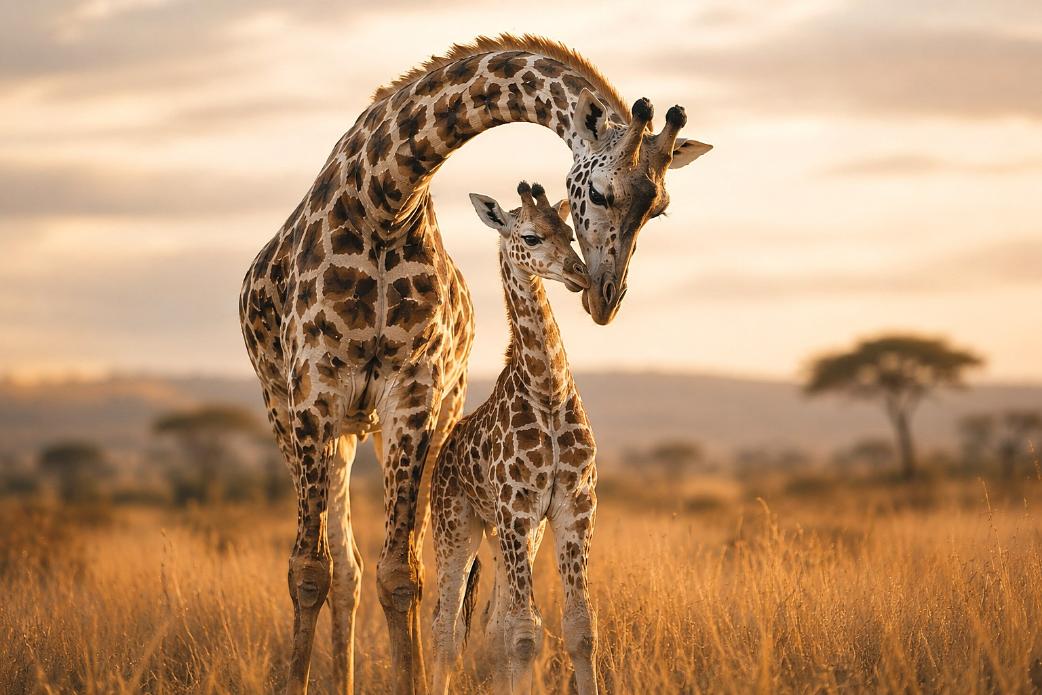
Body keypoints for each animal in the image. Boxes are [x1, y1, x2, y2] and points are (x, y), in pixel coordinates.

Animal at [430, 181, 598, 695]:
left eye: (569, 231)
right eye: (530, 236)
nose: (581, 274)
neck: (548, 391)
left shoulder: (573, 506)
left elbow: (579, 627)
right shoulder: (516, 508)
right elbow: (525, 634)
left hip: (512, 533)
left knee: (493, 622)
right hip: (456, 528)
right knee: (444, 627)